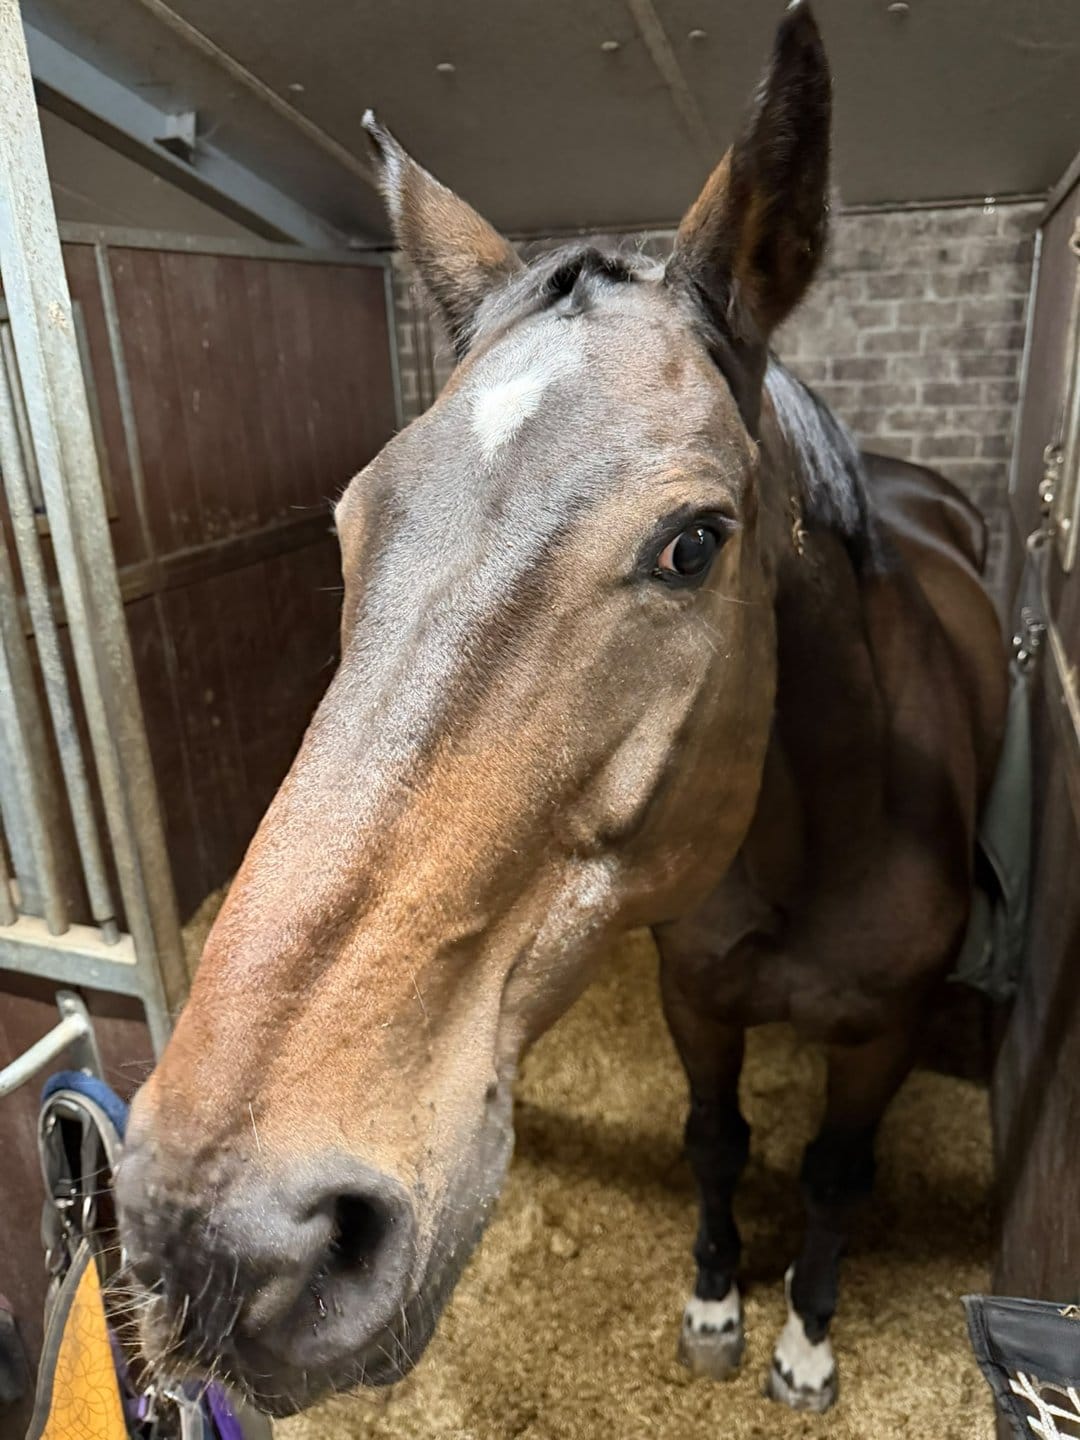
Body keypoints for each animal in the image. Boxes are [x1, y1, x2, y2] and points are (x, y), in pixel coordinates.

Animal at [116, 1, 1006, 1417]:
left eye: (695, 544)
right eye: (352, 523)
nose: (215, 1235)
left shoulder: (885, 1037)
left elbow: (830, 1176)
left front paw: (805, 1344)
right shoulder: (695, 1001)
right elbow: (716, 1140)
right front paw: (714, 1309)